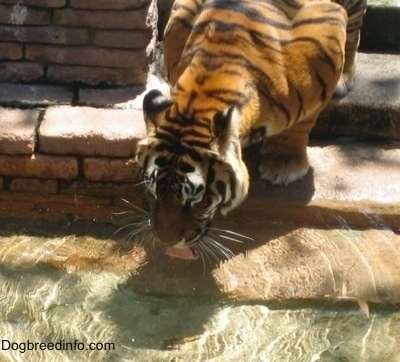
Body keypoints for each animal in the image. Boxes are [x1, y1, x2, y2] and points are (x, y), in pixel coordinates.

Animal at [136, 0, 368, 260]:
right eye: (153, 192)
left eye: (198, 200)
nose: (165, 240)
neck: (201, 94)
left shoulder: (328, 28)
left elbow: (300, 124)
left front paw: (284, 165)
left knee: (355, 30)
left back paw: (345, 79)